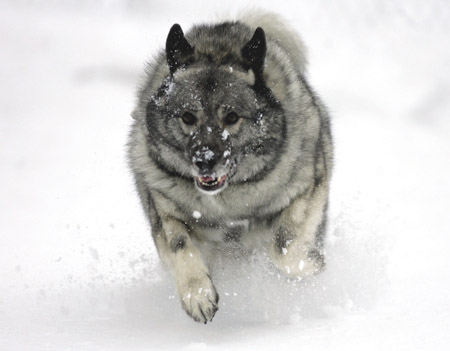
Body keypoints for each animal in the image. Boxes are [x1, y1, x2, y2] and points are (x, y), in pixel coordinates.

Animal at [128, 11, 332, 324]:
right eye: (188, 116)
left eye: (232, 117)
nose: (204, 160)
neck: (227, 202)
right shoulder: (165, 211)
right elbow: (180, 247)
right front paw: (198, 296)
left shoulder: (307, 189)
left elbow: (283, 247)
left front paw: (310, 264)